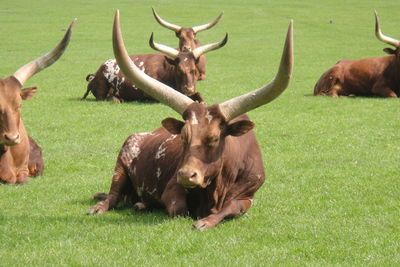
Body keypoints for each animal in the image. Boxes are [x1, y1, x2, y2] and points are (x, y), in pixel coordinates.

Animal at [87, 11, 294, 232]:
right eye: (183, 137)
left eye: (214, 139)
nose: (187, 175)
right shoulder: (172, 187)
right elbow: (179, 209)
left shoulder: (248, 197)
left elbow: (231, 208)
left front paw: (205, 221)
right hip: (120, 167)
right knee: (113, 195)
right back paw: (104, 206)